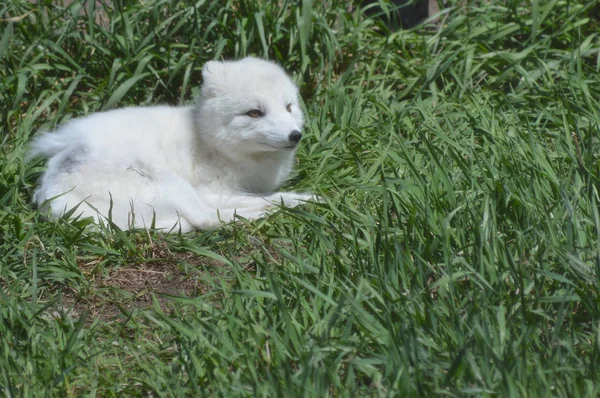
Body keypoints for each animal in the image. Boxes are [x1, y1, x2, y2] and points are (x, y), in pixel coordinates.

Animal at [29, 57, 316, 232]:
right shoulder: (212, 190)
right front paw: (304, 198)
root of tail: (53, 198)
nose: (295, 135)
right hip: (171, 183)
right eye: (254, 113)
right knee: (207, 219)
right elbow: (271, 196)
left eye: (289, 107)